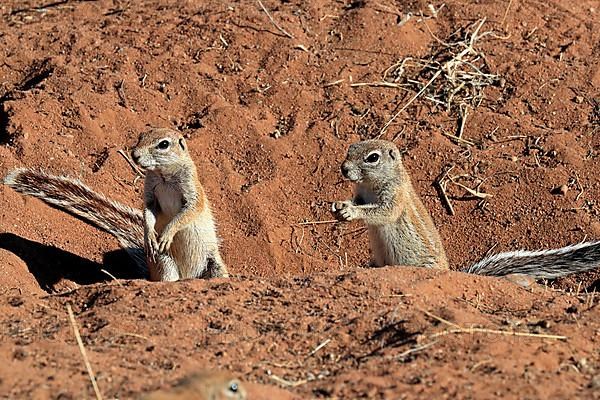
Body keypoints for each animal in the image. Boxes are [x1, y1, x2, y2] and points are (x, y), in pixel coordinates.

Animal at [3, 128, 229, 282]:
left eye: (163, 144)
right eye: (141, 136)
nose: (134, 154)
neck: (164, 175)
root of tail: (189, 276)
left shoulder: (192, 190)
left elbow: (189, 211)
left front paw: (167, 233)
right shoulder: (150, 192)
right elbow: (148, 211)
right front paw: (149, 234)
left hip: (213, 265)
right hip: (164, 262)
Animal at [330, 139, 600, 280]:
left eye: (372, 157)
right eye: (350, 148)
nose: (344, 169)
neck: (371, 184)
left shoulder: (394, 198)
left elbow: (381, 213)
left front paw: (351, 212)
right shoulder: (361, 195)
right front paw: (339, 207)